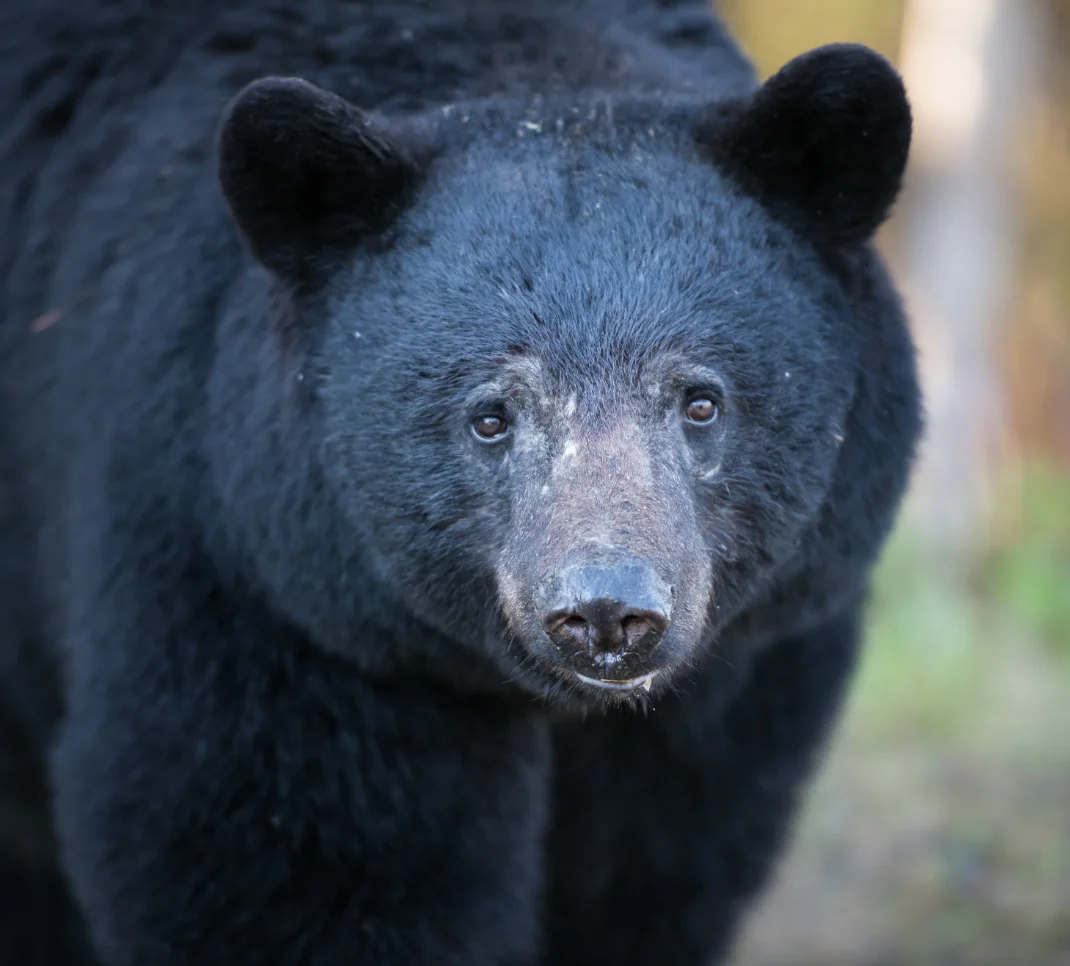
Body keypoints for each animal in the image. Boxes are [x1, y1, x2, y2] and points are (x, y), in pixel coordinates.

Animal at [0, 0, 921, 963]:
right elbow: (286, 868)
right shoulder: (255, 590)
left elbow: (651, 871)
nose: (605, 613)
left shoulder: (744, 675)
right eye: (490, 416)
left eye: (700, 401)